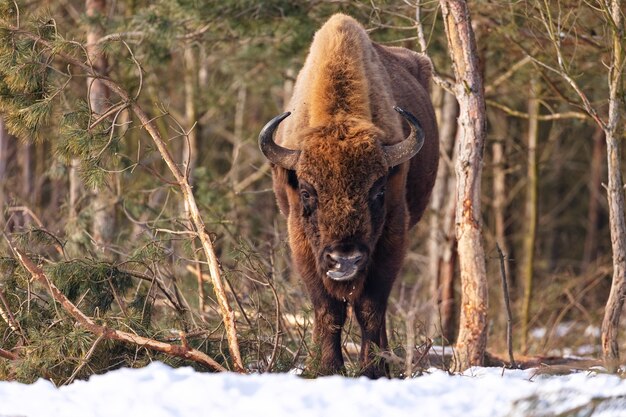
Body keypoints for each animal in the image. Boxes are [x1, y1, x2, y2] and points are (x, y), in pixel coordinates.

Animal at [256, 13, 436, 376]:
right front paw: (325, 367)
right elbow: (328, 309)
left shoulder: (392, 235)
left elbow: (369, 306)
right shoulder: (302, 242)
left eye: (378, 190)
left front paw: (373, 369)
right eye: (307, 192)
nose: (345, 260)